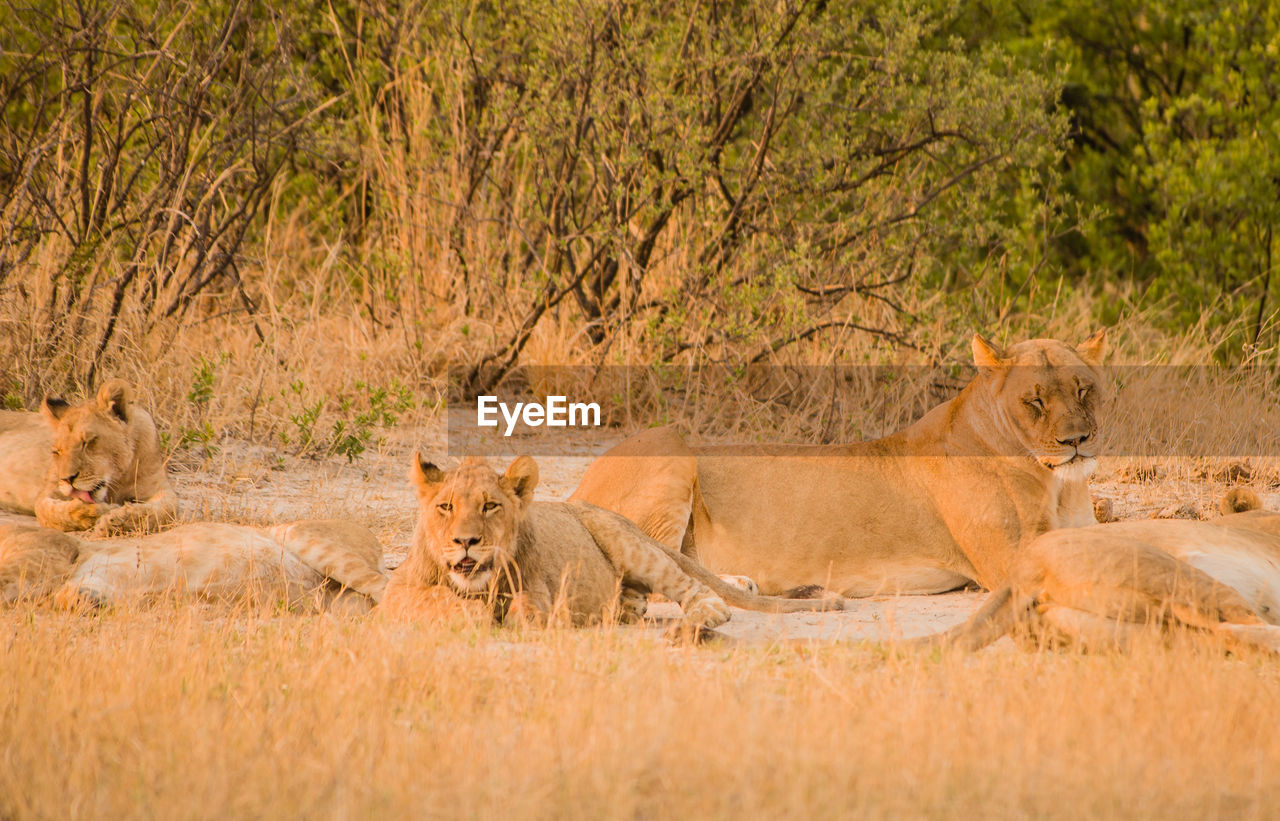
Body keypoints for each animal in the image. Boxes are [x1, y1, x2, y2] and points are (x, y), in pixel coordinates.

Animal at [0, 381, 177, 535]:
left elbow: (168, 510)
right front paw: (98, 512)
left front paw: (118, 520)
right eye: (57, 452)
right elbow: (48, 512)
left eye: (87, 442)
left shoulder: (159, 488)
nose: (68, 479)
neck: (117, 477)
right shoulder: (50, 489)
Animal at [384, 455, 844, 627]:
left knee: (698, 592)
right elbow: (430, 599)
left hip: (634, 548)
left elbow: (525, 611)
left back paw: (700, 619)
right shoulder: (397, 591)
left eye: (491, 506)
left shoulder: (542, 596)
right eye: (445, 507)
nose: (466, 541)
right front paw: (470, 611)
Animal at [573, 330, 1111, 591]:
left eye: (1083, 389)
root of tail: (576, 490)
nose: (1076, 440)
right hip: (669, 443)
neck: (1060, 484)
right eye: (1034, 401)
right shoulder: (1010, 557)